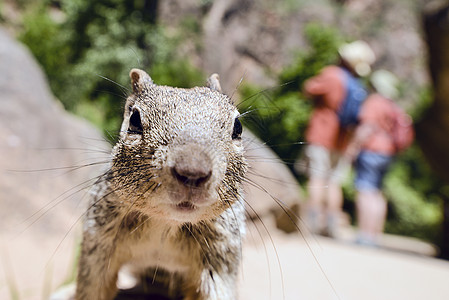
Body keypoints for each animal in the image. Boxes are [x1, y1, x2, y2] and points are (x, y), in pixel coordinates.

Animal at [75, 69, 247, 300]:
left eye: (238, 126)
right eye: (134, 120)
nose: (192, 172)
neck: (167, 223)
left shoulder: (220, 257)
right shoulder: (98, 244)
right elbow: (93, 286)